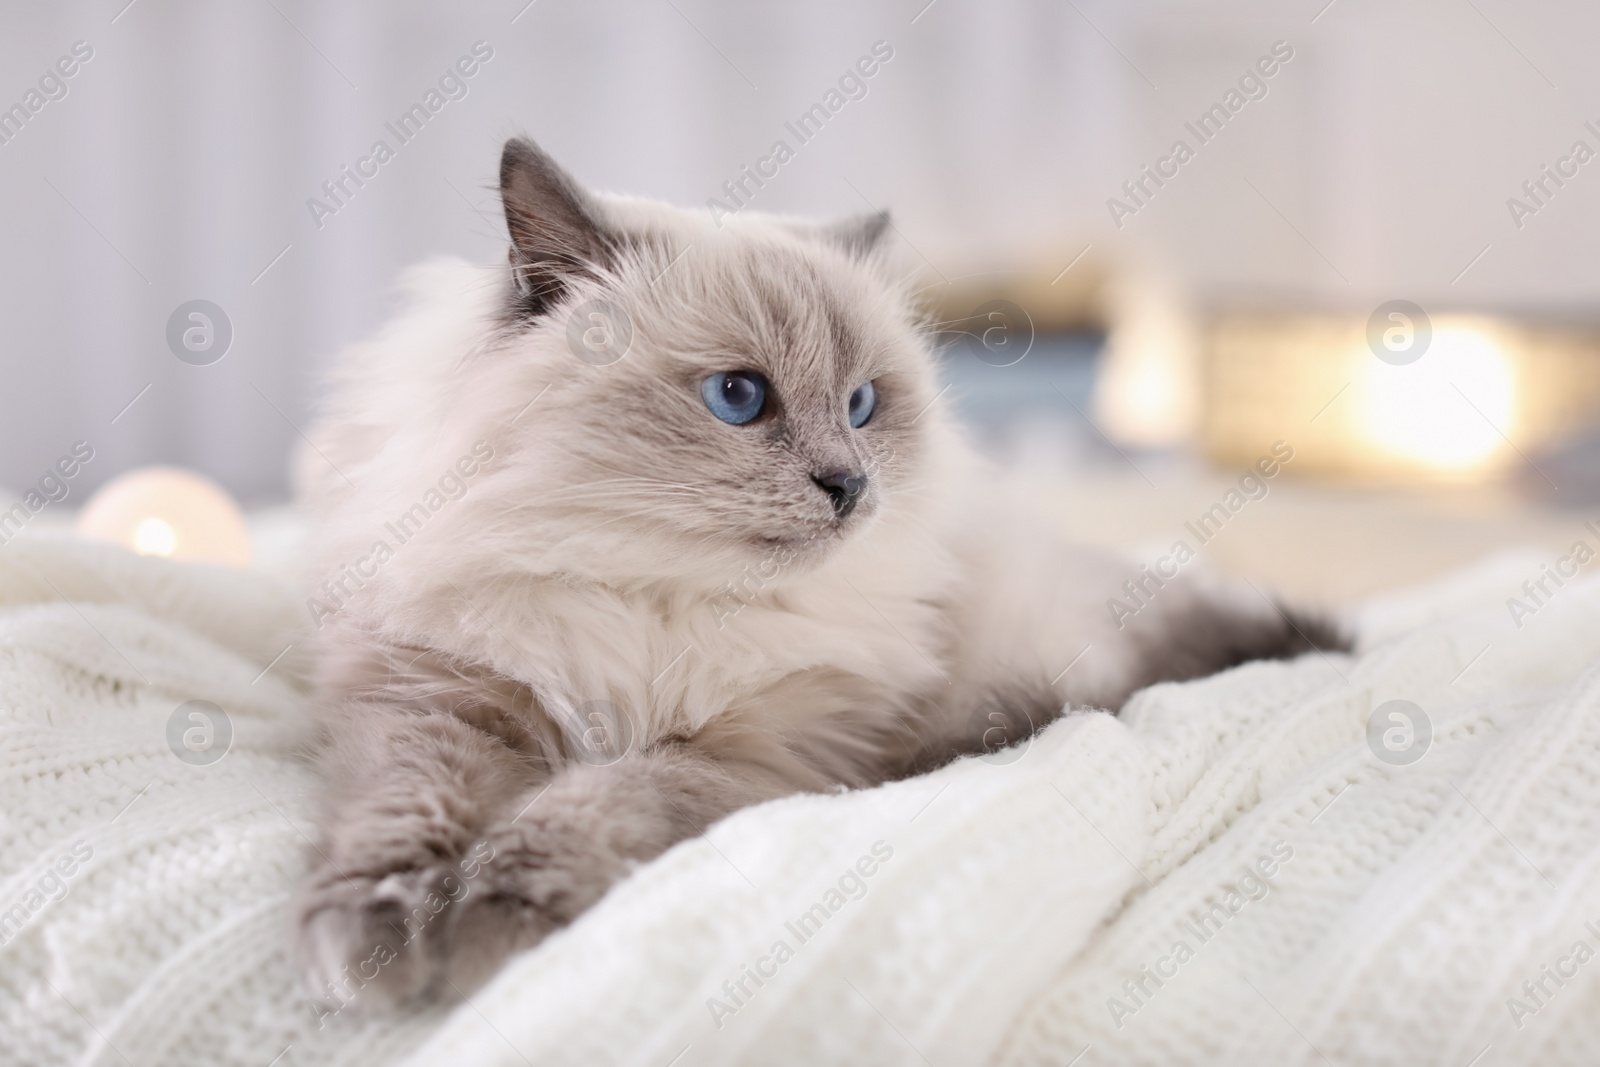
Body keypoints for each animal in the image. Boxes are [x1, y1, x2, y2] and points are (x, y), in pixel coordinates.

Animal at [294, 135, 1344, 1011]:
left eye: (863, 405)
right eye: (738, 397)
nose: (850, 484)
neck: (655, 600)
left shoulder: (755, 752)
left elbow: (586, 807)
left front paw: (494, 926)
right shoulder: (437, 701)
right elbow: (396, 822)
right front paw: (381, 948)